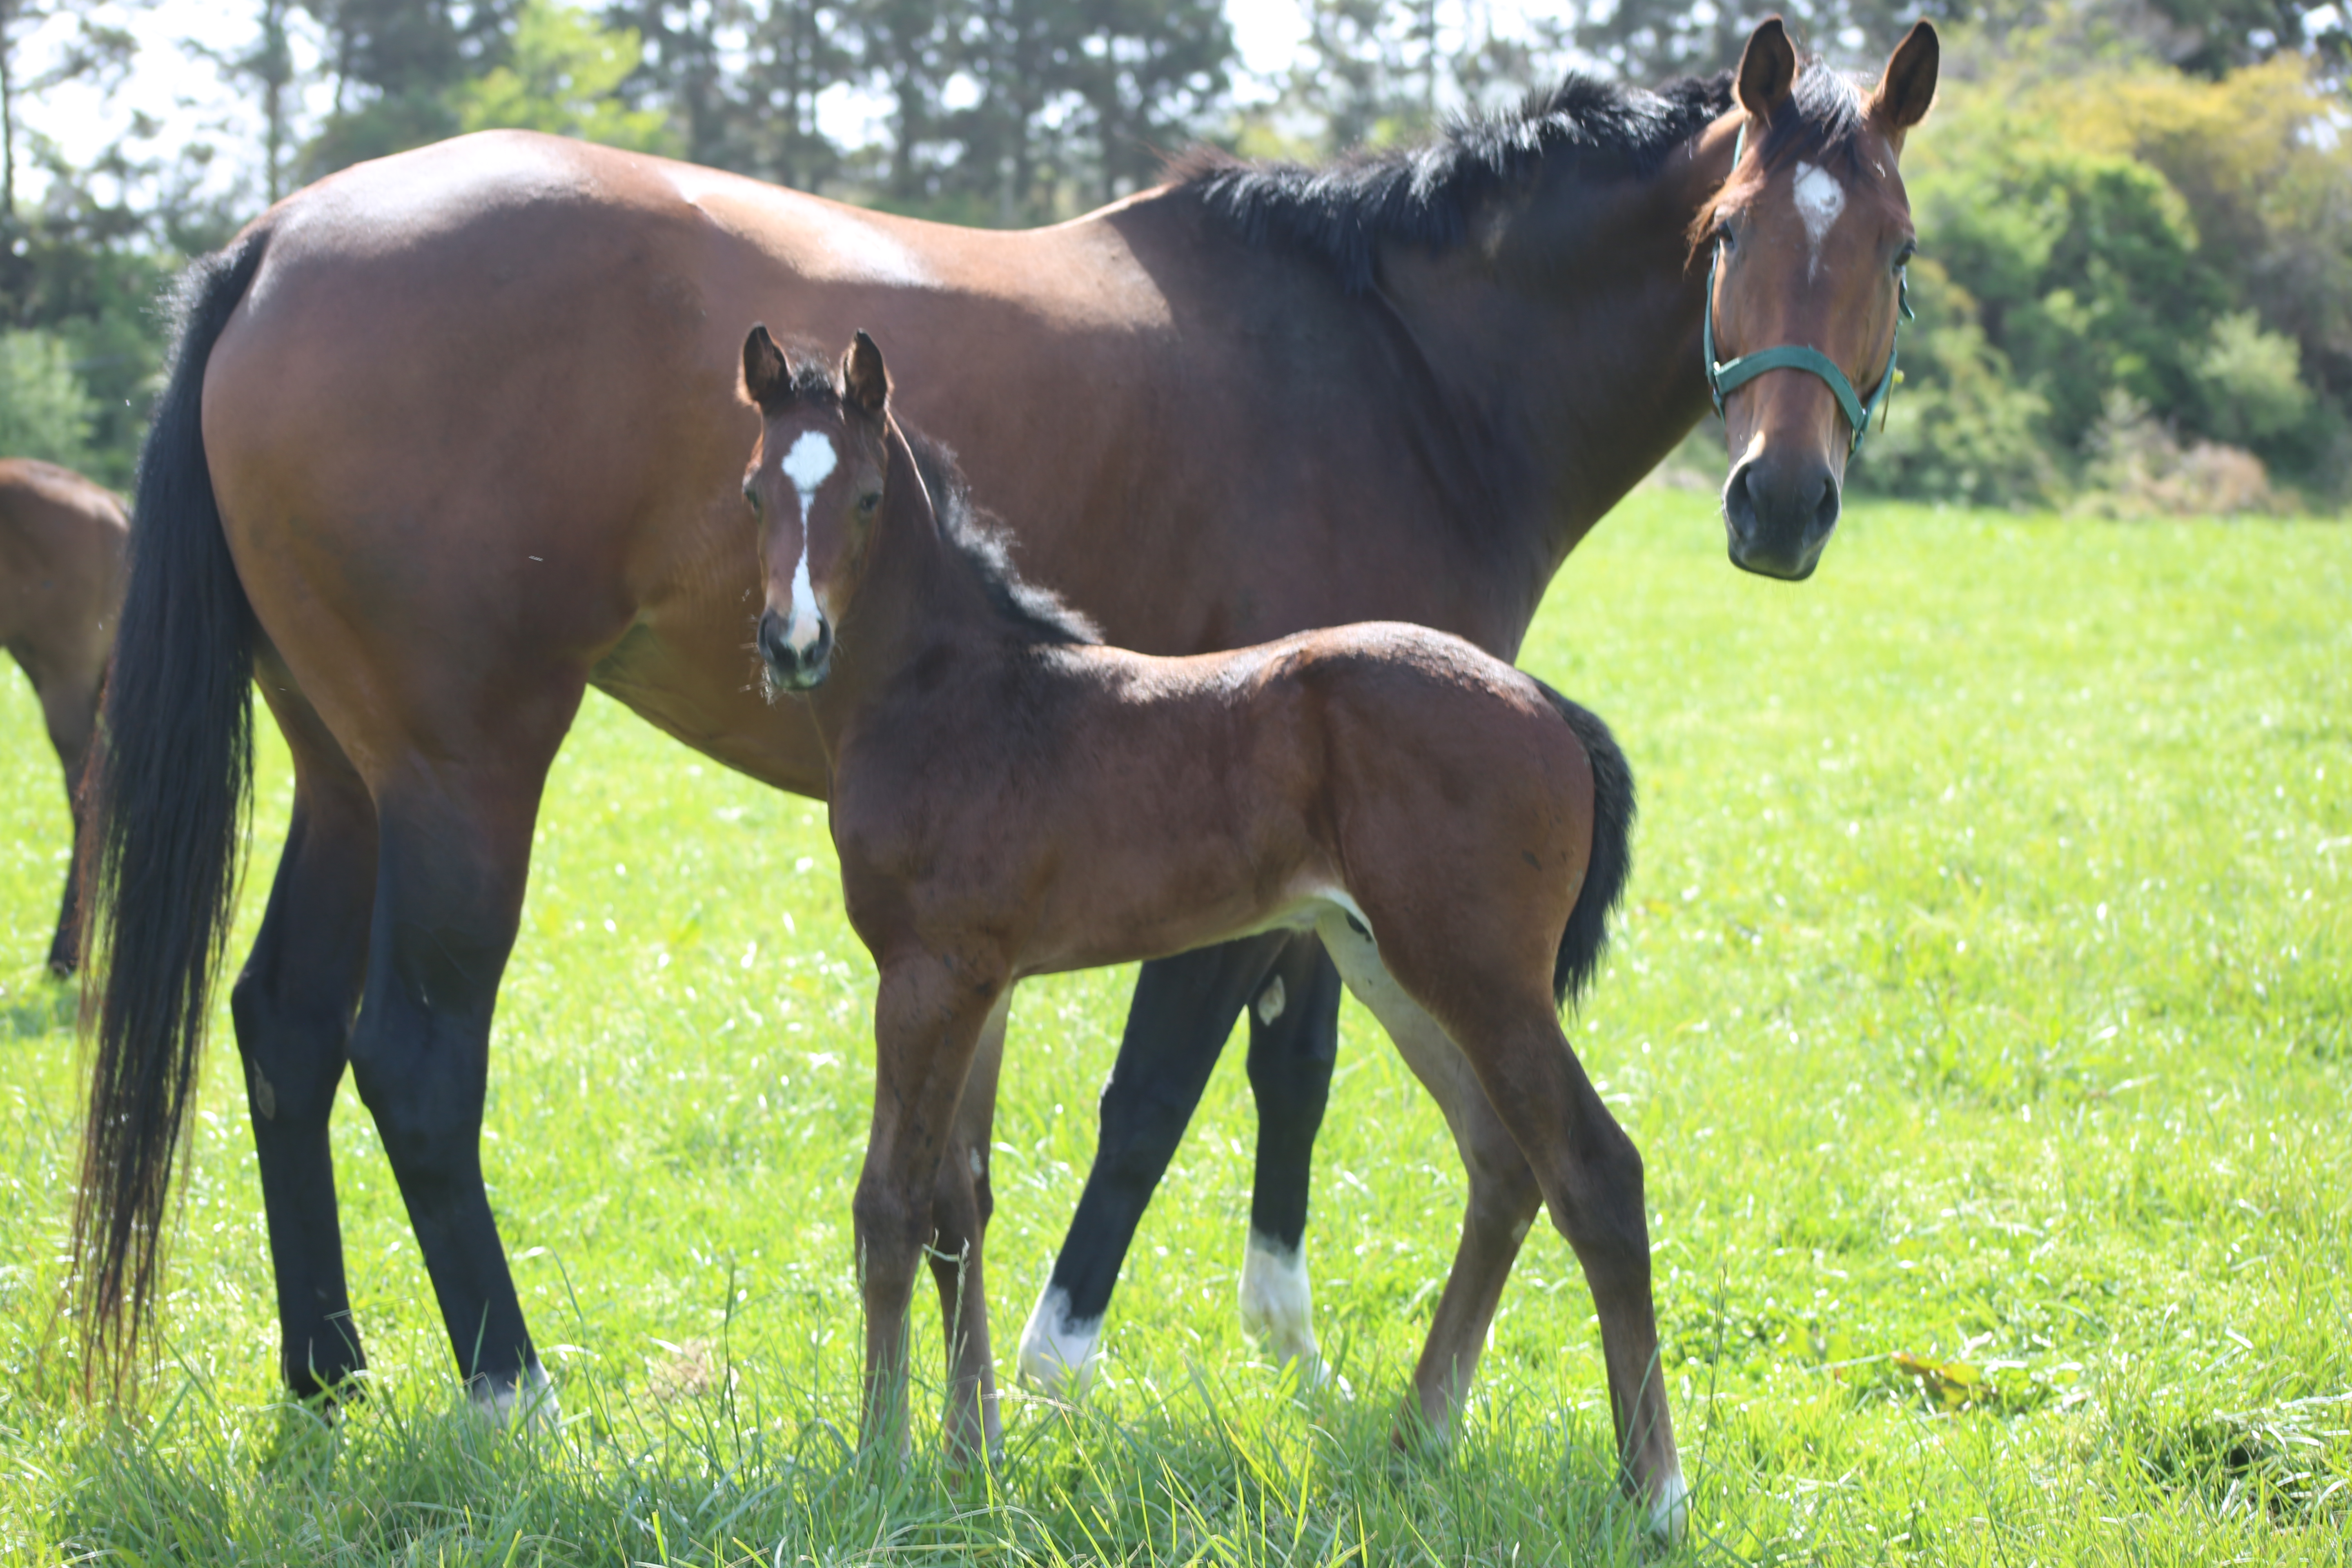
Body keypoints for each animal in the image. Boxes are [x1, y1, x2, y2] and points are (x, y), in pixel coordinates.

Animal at [734, 331, 1675, 1532]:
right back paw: (1415, 1441)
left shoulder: (923, 975)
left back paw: (1655, 1495)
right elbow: (960, 1204)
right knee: (1504, 1163)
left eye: (861, 499)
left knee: (1595, 1173)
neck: (956, 692)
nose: (793, 644)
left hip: (1480, 975)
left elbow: (888, 1208)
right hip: (1388, 963)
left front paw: (878, 1468)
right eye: (754, 491)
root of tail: (1547, 704)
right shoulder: (982, 983)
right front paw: (967, 1459)